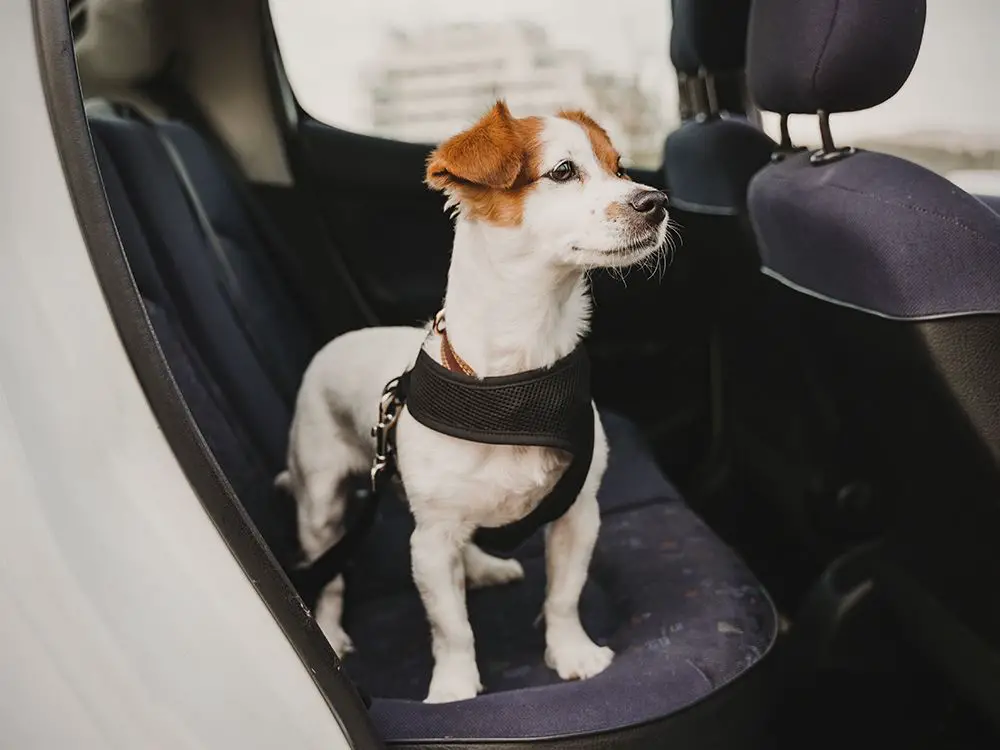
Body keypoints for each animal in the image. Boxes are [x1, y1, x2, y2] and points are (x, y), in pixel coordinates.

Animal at [282, 100, 672, 704]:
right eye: (563, 171)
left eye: (620, 168)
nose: (656, 202)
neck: (518, 382)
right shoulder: (428, 543)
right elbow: (451, 628)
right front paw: (454, 688)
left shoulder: (577, 514)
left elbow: (564, 596)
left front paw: (572, 653)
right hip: (322, 504)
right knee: (327, 575)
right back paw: (328, 630)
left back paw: (483, 567)